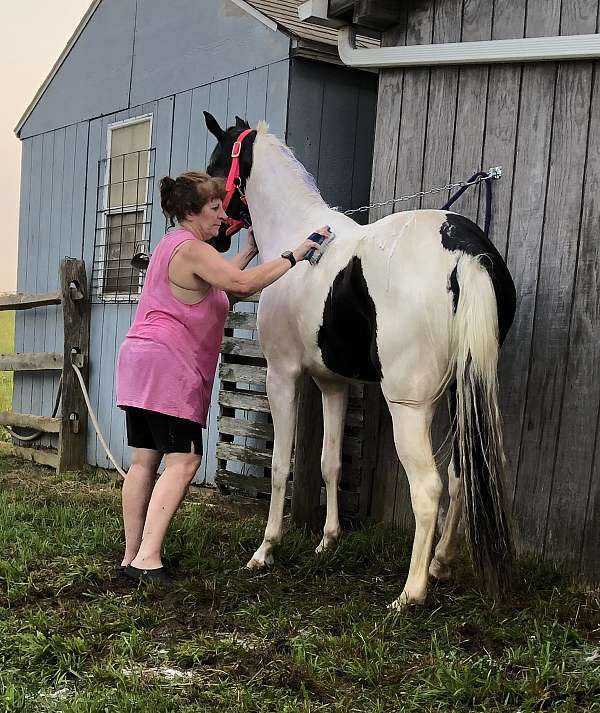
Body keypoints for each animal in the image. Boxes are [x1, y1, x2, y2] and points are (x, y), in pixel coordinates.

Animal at [205, 112, 516, 608]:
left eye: (217, 165)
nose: (216, 238)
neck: (299, 236)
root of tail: (466, 252)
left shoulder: (283, 376)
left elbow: (281, 465)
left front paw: (265, 550)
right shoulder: (333, 383)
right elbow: (329, 461)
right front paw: (328, 540)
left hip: (410, 407)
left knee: (429, 488)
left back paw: (410, 594)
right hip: (459, 393)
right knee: (462, 473)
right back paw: (441, 565)